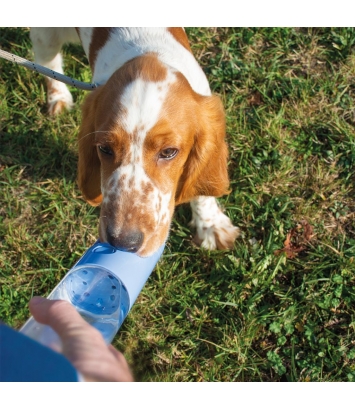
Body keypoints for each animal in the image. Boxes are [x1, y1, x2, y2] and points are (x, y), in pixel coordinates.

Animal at [30, 27, 241, 255]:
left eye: (168, 152)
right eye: (104, 148)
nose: (122, 242)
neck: (149, 50)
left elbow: (201, 186)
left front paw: (211, 226)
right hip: (46, 37)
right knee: (48, 62)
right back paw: (58, 97)